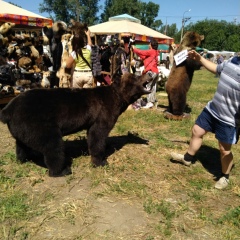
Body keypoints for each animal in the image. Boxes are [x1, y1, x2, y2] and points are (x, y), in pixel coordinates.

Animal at [0, 72, 152, 176]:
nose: (150, 73)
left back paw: (23, 159)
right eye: (136, 75)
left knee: (21, 144)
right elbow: (97, 137)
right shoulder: (102, 115)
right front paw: (100, 161)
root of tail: (7, 110)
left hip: (23, 127)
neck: (118, 97)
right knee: (53, 146)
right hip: (38, 123)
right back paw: (61, 170)